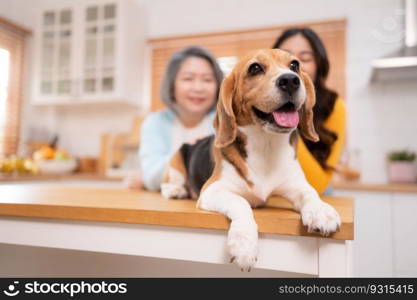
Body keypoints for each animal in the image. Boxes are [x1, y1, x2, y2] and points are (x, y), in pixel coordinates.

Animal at [161, 48, 340, 270]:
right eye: (255, 68)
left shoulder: (296, 185)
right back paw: (176, 190)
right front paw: (244, 244)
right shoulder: (212, 190)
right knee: (169, 182)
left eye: (295, 65)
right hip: (177, 159)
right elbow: (241, 203)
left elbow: (311, 194)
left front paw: (321, 212)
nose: (290, 80)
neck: (266, 146)